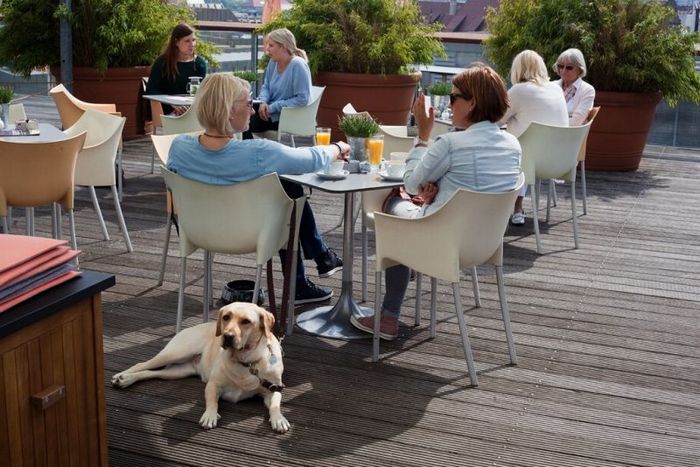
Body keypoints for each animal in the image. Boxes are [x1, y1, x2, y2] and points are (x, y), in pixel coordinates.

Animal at [110, 304, 288, 436]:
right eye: (226, 317)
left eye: (246, 321)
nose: (227, 336)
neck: (246, 362)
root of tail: (191, 326)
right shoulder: (213, 384)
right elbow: (212, 401)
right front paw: (210, 415)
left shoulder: (273, 389)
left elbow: (275, 405)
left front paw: (279, 419)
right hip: (175, 353)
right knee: (142, 364)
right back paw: (123, 377)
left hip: (177, 372)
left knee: (151, 373)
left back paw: (126, 380)